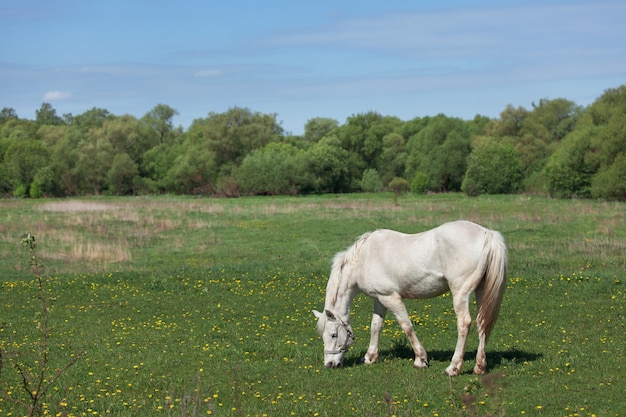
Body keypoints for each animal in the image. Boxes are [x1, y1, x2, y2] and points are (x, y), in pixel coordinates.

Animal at [312, 219, 508, 376]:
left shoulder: (391, 298)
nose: (330, 364)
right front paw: (369, 357)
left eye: (333, 334)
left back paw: (453, 368)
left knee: (464, 324)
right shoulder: (379, 299)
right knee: (482, 323)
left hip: (460, 292)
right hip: (481, 290)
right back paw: (479, 367)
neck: (363, 259)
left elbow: (407, 326)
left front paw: (420, 360)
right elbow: (375, 326)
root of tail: (487, 234)